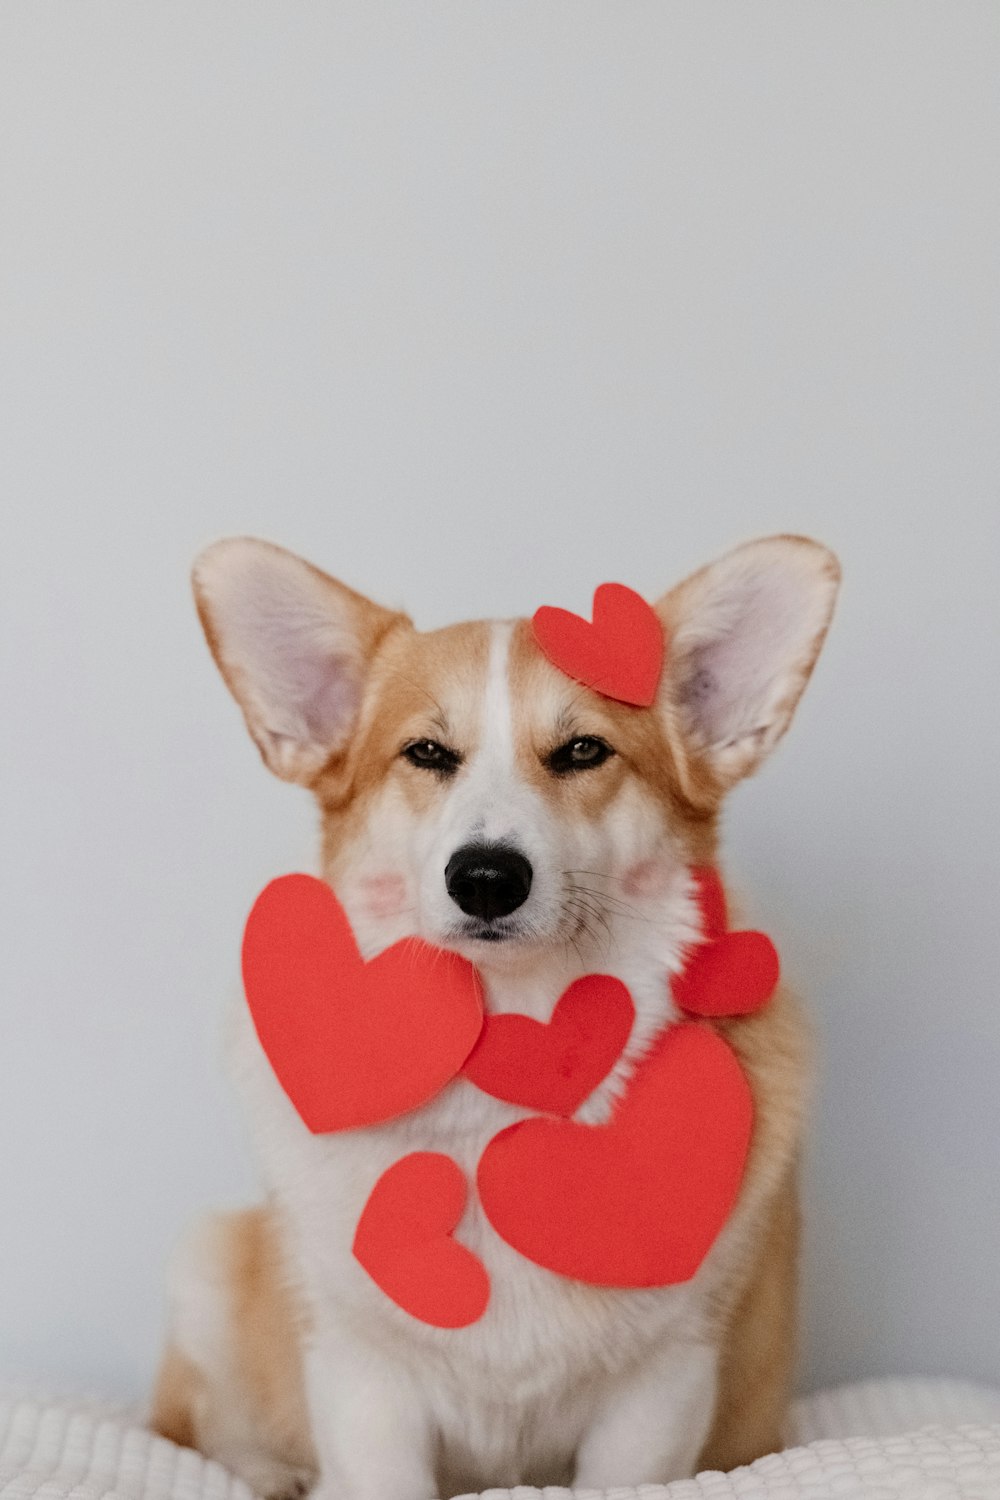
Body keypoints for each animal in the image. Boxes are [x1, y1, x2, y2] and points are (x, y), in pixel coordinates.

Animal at [150, 534, 839, 1500]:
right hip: (207, 1261)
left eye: (584, 750)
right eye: (427, 753)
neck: (514, 1053)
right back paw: (276, 1474)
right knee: (196, 1425)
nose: (484, 877)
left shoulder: (661, 1387)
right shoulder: (365, 1383)